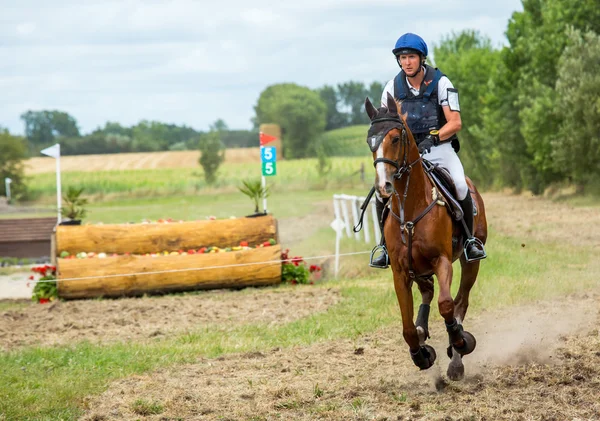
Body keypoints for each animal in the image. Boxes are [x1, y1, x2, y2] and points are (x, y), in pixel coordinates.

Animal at [364, 93, 490, 378]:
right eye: (370, 142)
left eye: (395, 138)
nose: (384, 186)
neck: (411, 208)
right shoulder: (400, 272)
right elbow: (407, 327)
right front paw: (421, 354)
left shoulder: (441, 261)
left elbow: (447, 305)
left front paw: (460, 341)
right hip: (418, 269)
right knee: (427, 294)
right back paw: (424, 333)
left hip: (470, 261)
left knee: (460, 300)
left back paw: (456, 360)